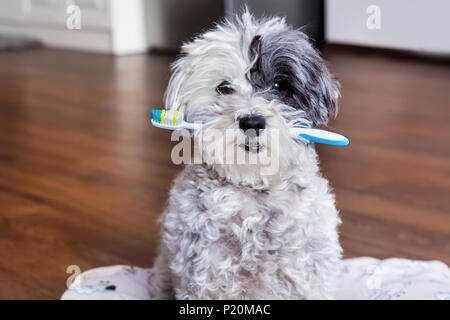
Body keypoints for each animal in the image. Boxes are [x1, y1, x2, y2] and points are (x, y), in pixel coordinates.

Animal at [148, 10, 342, 300]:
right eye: (224, 88)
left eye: (279, 85)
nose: (252, 121)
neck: (252, 187)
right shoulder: (204, 274)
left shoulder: (310, 274)